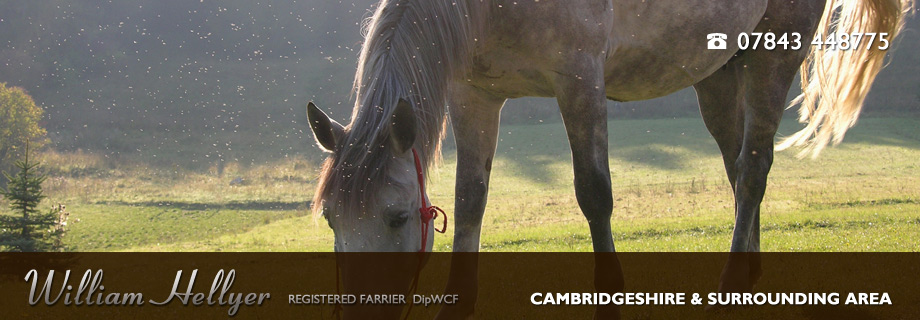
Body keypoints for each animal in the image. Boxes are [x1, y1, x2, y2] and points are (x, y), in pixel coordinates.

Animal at [308, 1, 912, 318]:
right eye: (332, 219)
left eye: (395, 217)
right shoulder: (473, 96)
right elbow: (470, 201)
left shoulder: (579, 78)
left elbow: (594, 195)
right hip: (719, 72)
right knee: (738, 166)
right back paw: (752, 276)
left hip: (773, 52)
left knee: (754, 168)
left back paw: (731, 283)